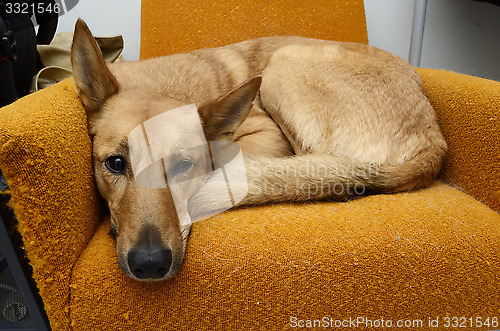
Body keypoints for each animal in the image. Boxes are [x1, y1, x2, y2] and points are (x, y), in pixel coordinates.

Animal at [69, 18, 446, 282]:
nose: (149, 265)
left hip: (284, 64)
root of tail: (433, 139)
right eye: (115, 163)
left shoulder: (267, 135)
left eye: (183, 166)